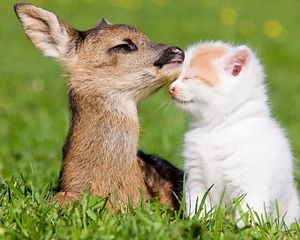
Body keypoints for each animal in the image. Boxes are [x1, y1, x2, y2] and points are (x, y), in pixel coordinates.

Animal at [170, 40, 298, 226]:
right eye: (177, 77)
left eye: (191, 77)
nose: (171, 88)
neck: (215, 128)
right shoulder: (196, 179)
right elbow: (199, 206)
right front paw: (198, 223)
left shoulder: (250, 186)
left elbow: (249, 215)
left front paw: (245, 230)